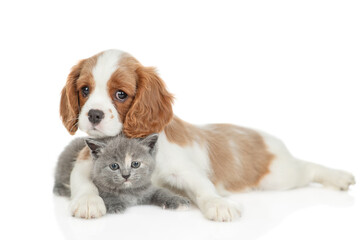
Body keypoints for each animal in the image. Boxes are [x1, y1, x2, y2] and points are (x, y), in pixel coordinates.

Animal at [54, 133, 191, 214]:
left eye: (135, 164)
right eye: (114, 166)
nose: (126, 175)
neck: (129, 192)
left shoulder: (148, 188)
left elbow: (162, 192)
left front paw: (178, 200)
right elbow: (104, 195)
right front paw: (115, 204)